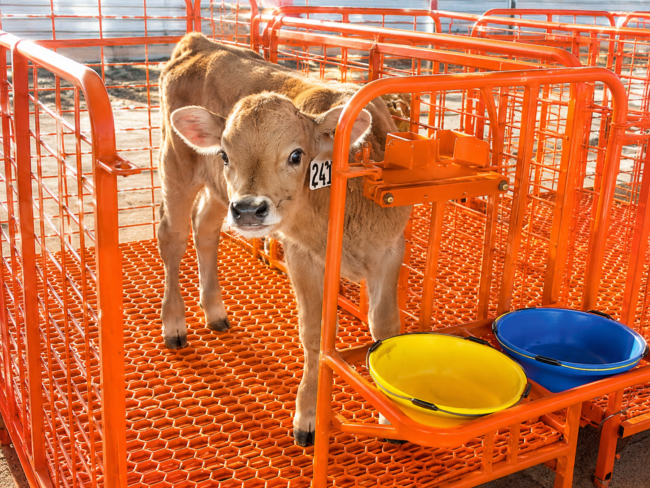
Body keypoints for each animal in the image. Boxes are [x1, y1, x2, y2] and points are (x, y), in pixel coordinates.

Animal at [159, 32, 411, 446]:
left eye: (296, 155)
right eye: (225, 154)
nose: (248, 209)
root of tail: (200, 42)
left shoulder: (389, 248)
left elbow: (385, 326)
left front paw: (388, 414)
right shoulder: (301, 255)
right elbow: (315, 333)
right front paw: (307, 415)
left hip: (217, 193)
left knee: (205, 228)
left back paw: (214, 311)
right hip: (177, 166)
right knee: (172, 236)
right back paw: (174, 324)